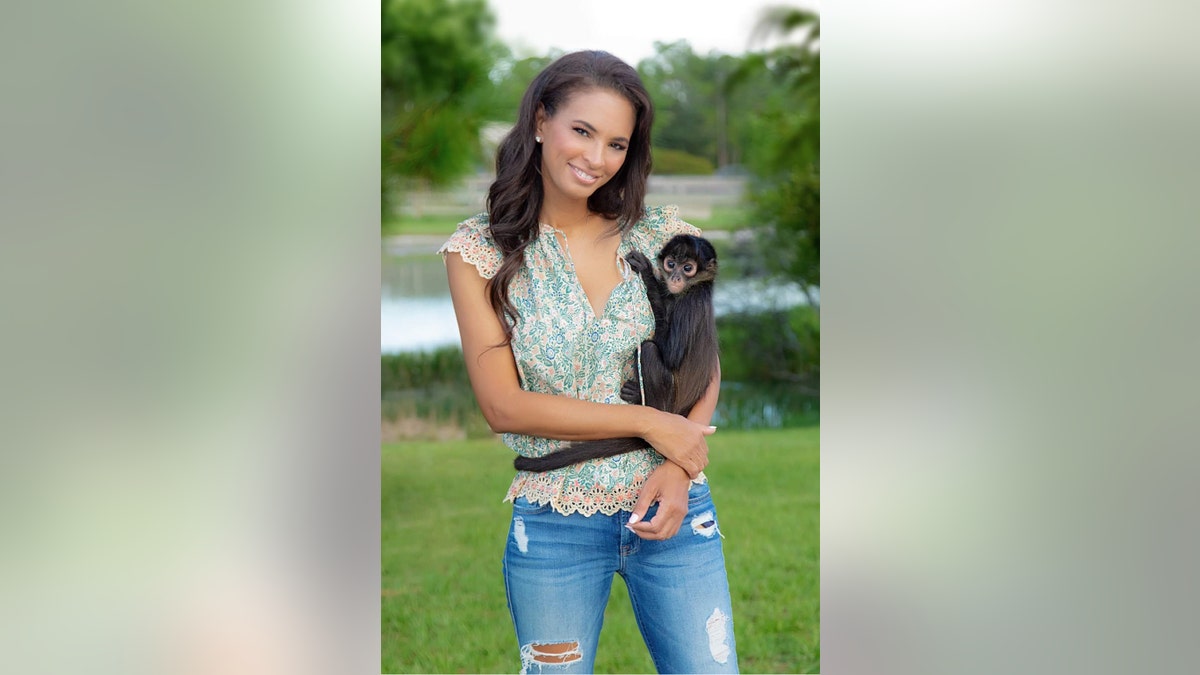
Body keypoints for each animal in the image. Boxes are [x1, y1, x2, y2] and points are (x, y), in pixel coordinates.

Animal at [511, 234, 715, 470]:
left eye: (688, 268)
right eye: (671, 264)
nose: (675, 277)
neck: (696, 287)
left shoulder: (692, 301)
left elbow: (671, 356)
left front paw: (648, 275)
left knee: (648, 349)